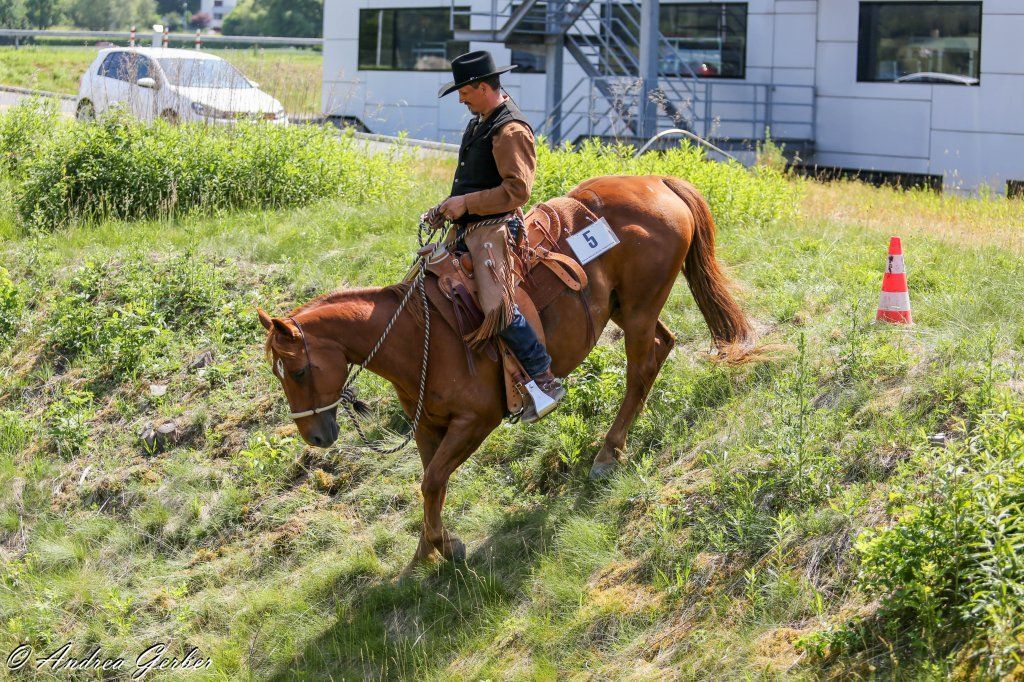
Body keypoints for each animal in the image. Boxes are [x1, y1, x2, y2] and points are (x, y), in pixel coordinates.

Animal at [257, 174, 753, 569]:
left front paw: (445, 547)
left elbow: (432, 480)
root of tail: (657, 181)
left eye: (296, 371)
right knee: (661, 347)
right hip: (629, 310)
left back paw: (609, 453)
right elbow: (431, 484)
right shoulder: (428, 426)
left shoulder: (476, 421)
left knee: (640, 368)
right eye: (278, 374)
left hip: (637, 309)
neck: (418, 334)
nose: (315, 437)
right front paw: (425, 552)